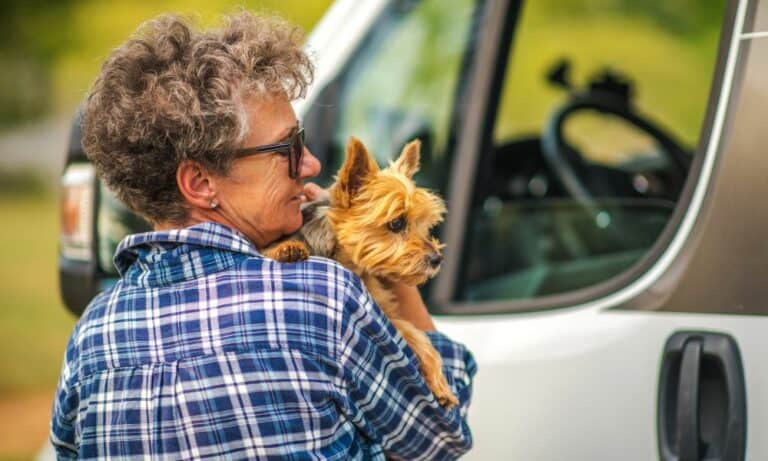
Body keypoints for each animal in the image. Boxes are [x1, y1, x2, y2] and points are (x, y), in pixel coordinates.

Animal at [264, 136, 456, 406]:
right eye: (396, 223)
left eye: (424, 225)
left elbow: (415, 334)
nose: (437, 259)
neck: (345, 259)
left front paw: (440, 384)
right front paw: (286, 249)